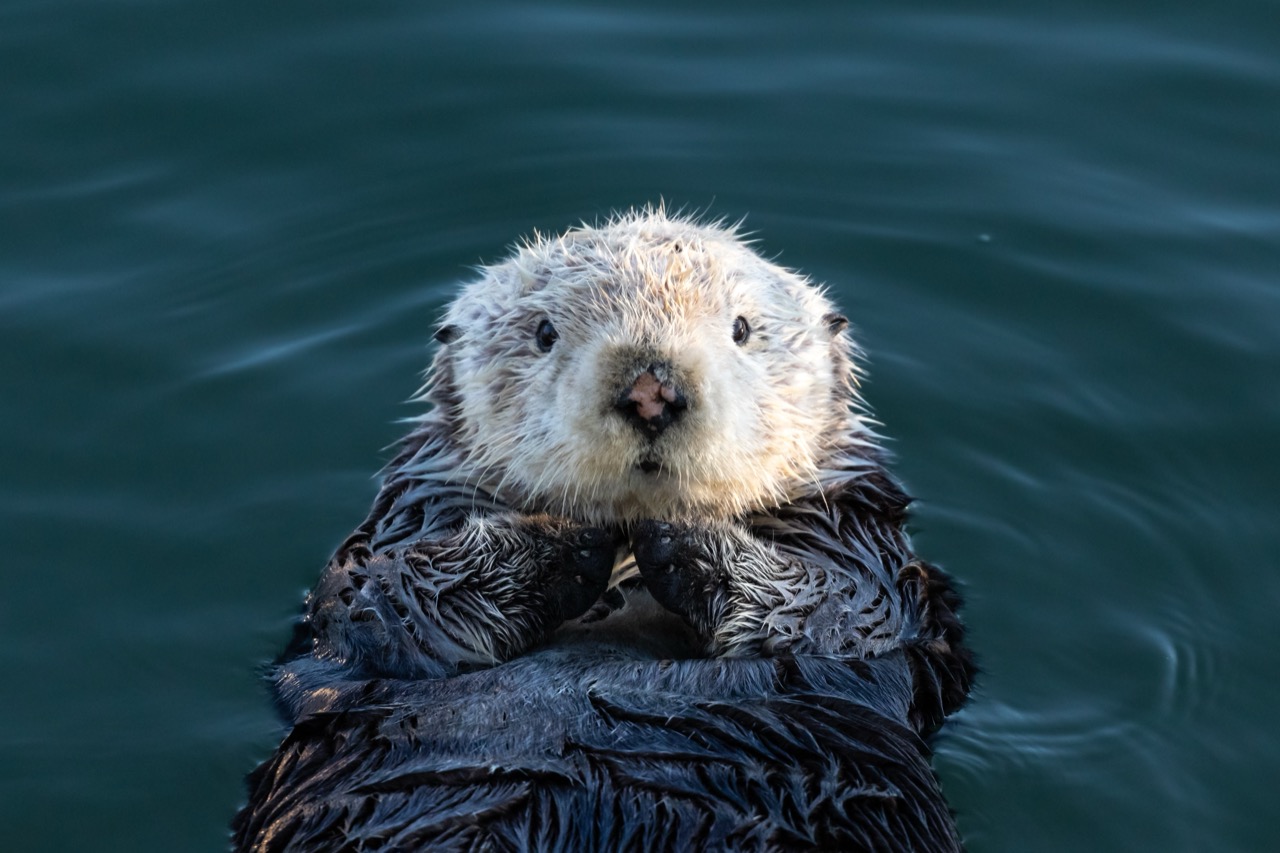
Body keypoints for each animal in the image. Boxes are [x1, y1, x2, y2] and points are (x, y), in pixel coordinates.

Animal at [232, 208, 967, 845]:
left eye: (741, 329)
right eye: (543, 333)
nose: (651, 391)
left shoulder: (870, 559)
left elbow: (839, 611)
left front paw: (677, 538)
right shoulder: (396, 538)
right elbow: (384, 601)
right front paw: (571, 538)